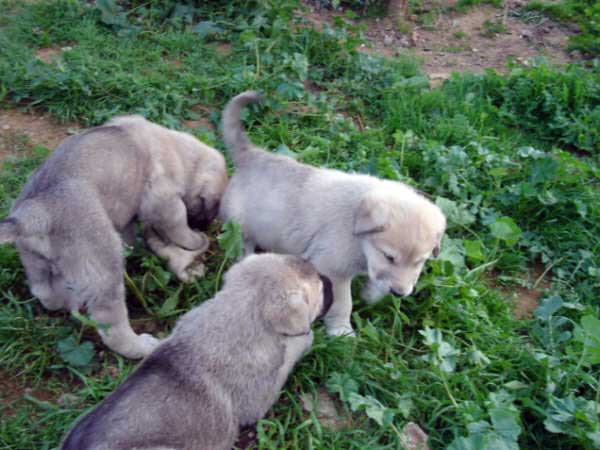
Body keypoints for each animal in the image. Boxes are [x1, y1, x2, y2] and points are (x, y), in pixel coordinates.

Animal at [0, 116, 227, 358]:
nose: (205, 227)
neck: (175, 148)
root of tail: (35, 213)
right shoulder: (165, 203)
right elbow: (179, 227)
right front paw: (196, 240)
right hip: (105, 269)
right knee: (112, 328)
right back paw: (141, 347)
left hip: (34, 260)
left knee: (43, 290)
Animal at [61, 253, 332, 450]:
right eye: (320, 286)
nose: (329, 279)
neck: (235, 314)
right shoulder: (259, 399)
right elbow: (290, 353)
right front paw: (306, 338)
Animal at [220, 92, 446, 338]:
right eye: (389, 257)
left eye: (420, 261)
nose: (399, 293)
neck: (356, 230)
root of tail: (251, 155)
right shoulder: (333, 271)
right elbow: (343, 304)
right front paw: (341, 332)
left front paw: (370, 296)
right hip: (237, 226)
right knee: (241, 245)